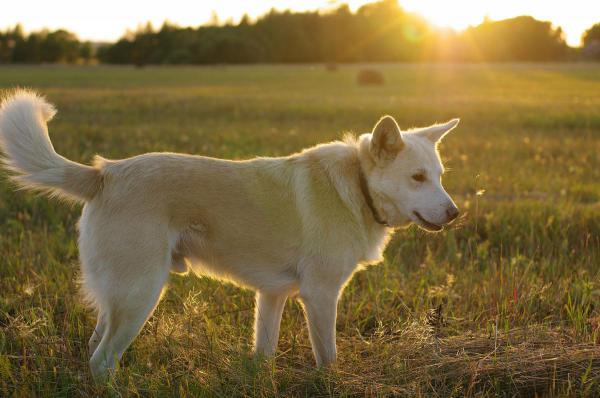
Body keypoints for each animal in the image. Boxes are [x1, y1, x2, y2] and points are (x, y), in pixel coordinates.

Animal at [0, 90, 460, 380]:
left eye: (439, 176)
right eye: (417, 178)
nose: (455, 214)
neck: (358, 185)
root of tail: (105, 172)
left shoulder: (272, 296)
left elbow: (263, 352)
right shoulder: (321, 295)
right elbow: (327, 357)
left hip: (118, 297)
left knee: (93, 351)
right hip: (140, 296)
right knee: (103, 360)